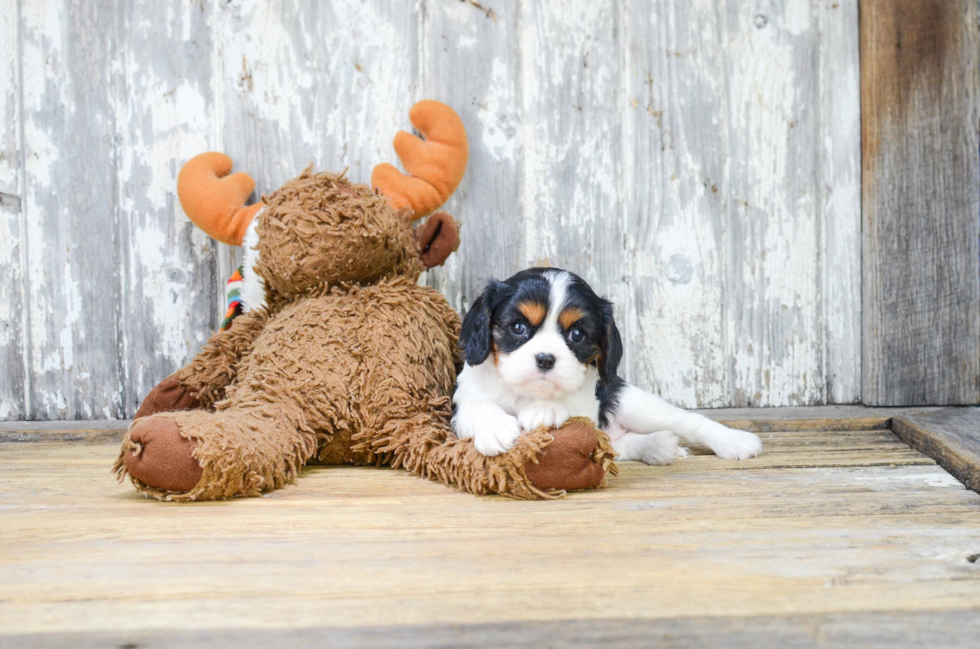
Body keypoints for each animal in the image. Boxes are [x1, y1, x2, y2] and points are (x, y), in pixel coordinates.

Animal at [454, 266, 764, 464]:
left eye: (576, 335)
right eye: (518, 327)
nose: (545, 358)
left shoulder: (589, 403)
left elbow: (569, 403)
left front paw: (545, 408)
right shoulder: (461, 407)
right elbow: (477, 408)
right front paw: (495, 427)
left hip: (633, 403)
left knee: (688, 421)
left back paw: (734, 441)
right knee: (619, 446)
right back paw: (661, 447)